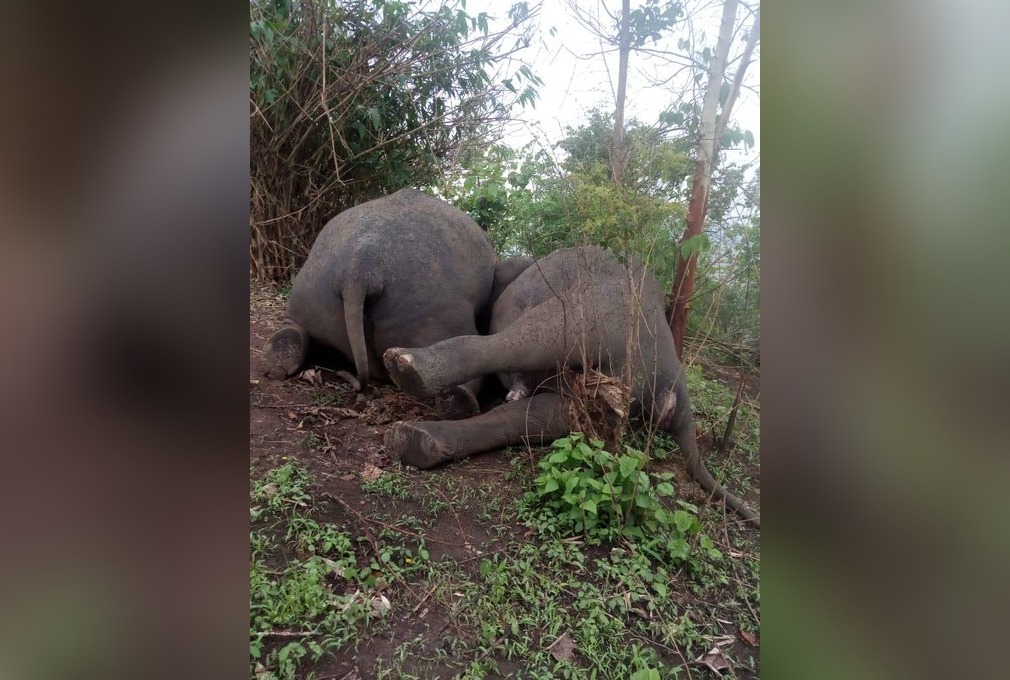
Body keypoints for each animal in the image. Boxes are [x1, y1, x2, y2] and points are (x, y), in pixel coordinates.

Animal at [261, 188, 496, 419]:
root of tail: (360, 267)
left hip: (312, 286)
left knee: (295, 327)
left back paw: (276, 367)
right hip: (431, 307)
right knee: (461, 343)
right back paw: (460, 403)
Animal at [381, 245, 760, 526]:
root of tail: (675, 379)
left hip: (604, 313)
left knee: (543, 340)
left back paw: (407, 373)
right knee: (546, 409)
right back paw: (416, 433)